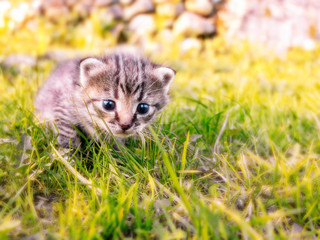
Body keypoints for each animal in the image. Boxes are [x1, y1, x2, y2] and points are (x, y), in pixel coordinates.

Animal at [34, 53, 175, 149]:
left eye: (143, 108)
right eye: (108, 105)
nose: (125, 125)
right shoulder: (62, 109)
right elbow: (67, 136)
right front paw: (70, 162)